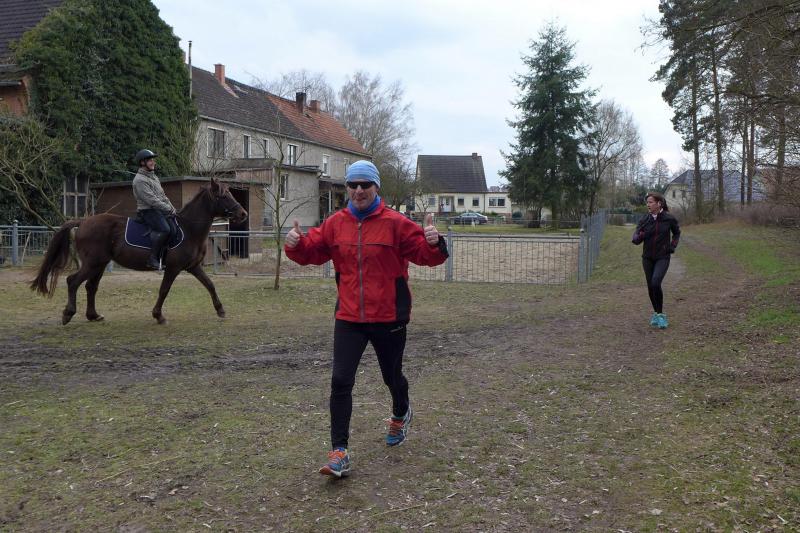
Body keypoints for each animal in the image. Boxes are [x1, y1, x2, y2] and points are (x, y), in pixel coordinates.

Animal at [31, 179, 248, 325]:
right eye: (223, 196)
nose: (243, 214)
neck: (189, 229)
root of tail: (83, 221)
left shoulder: (193, 267)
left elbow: (210, 284)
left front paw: (220, 310)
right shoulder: (173, 268)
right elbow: (164, 290)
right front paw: (158, 316)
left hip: (100, 264)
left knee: (91, 286)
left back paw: (93, 316)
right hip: (93, 263)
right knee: (73, 281)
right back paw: (68, 314)